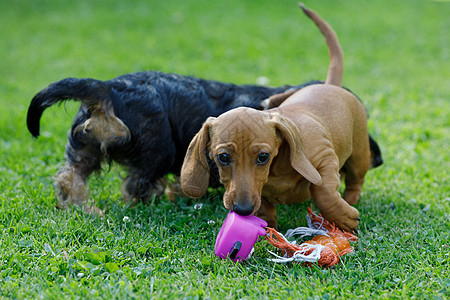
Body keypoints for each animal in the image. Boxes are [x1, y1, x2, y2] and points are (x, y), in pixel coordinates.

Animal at [27, 70, 320, 211]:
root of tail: (108, 89)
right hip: (160, 148)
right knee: (137, 184)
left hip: (85, 145)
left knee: (70, 176)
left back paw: (85, 209)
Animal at [181, 4, 382, 232]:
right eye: (222, 157)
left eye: (263, 157)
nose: (242, 210)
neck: (277, 168)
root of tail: (330, 84)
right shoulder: (259, 193)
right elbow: (265, 206)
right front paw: (267, 228)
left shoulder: (325, 157)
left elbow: (322, 191)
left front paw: (344, 217)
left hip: (359, 154)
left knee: (356, 179)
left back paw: (351, 200)